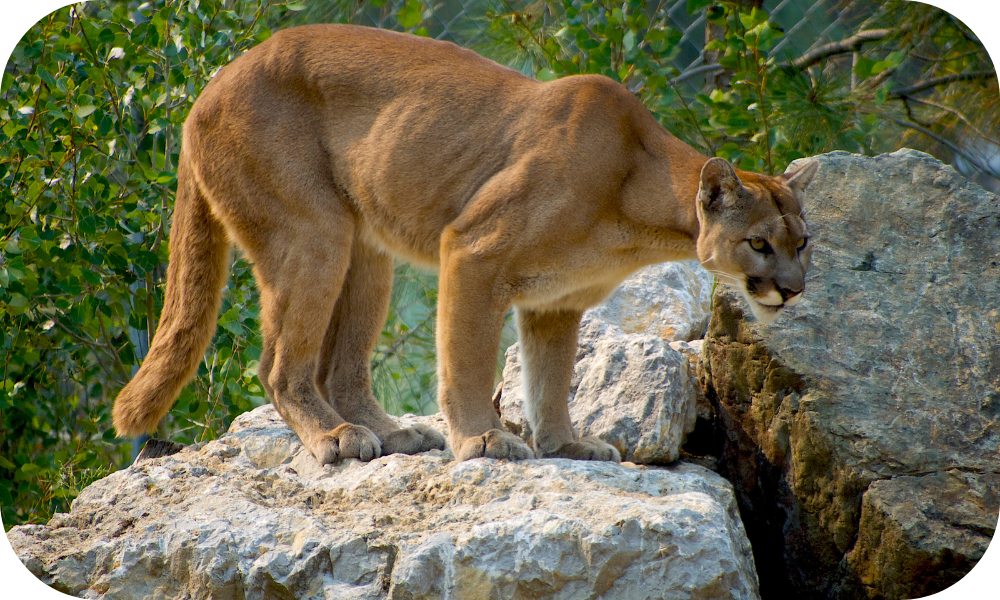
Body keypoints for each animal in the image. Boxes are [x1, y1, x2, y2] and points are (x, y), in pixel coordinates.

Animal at [113, 24, 816, 464]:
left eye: (803, 243)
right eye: (759, 244)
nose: (793, 290)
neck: (639, 207)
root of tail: (206, 89)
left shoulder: (556, 301)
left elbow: (551, 378)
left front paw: (564, 445)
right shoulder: (475, 252)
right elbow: (468, 359)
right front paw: (483, 441)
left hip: (366, 250)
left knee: (339, 364)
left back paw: (389, 432)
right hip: (314, 234)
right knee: (279, 365)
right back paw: (336, 438)